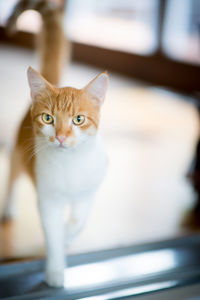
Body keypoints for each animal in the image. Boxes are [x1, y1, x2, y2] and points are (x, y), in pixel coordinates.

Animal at [2, 0, 108, 288]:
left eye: (78, 120)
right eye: (48, 118)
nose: (60, 136)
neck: (70, 165)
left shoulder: (87, 193)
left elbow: (78, 220)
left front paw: (69, 234)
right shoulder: (47, 200)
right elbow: (53, 235)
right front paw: (55, 270)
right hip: (18, 154)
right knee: (12, 177)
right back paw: (9, 208)